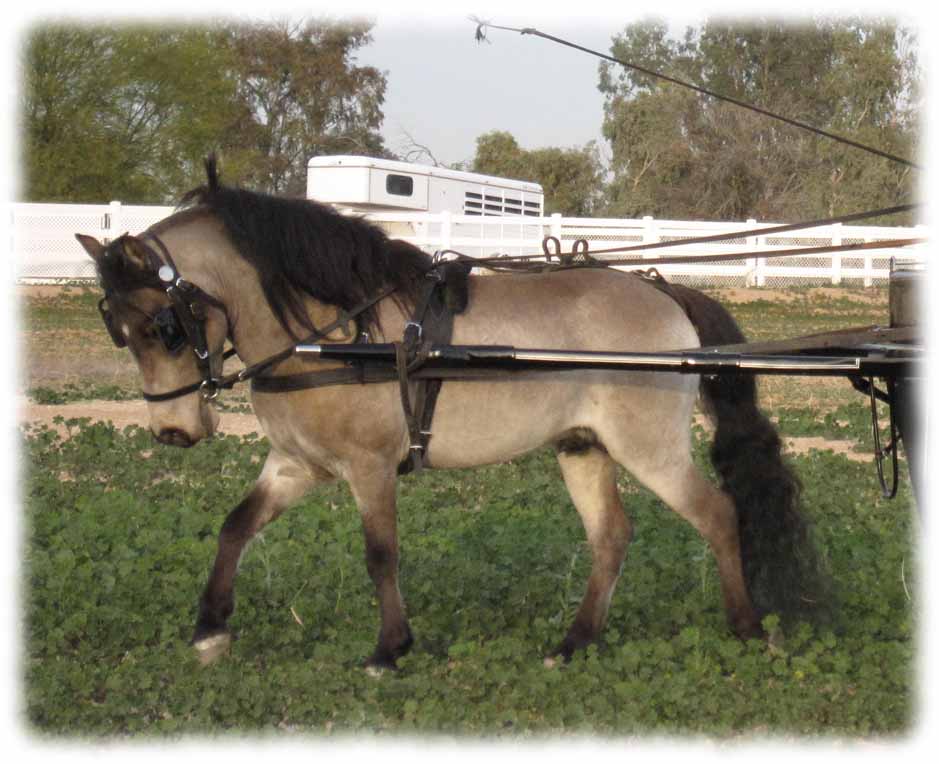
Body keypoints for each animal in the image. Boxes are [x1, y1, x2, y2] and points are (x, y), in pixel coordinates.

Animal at [76, 156, 825, 670]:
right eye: (117, 327)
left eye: (165, 327)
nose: (173, 432)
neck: (335, 331)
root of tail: (665, 292)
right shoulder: (295, 465)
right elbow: (235, 527)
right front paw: (210, 628)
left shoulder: (370, 467)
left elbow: (380, 553)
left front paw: (389, 648)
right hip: (582, 446)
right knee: (611, 536)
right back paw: (573, 642)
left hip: (650, 449)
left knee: (717, 514)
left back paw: (746, 628)